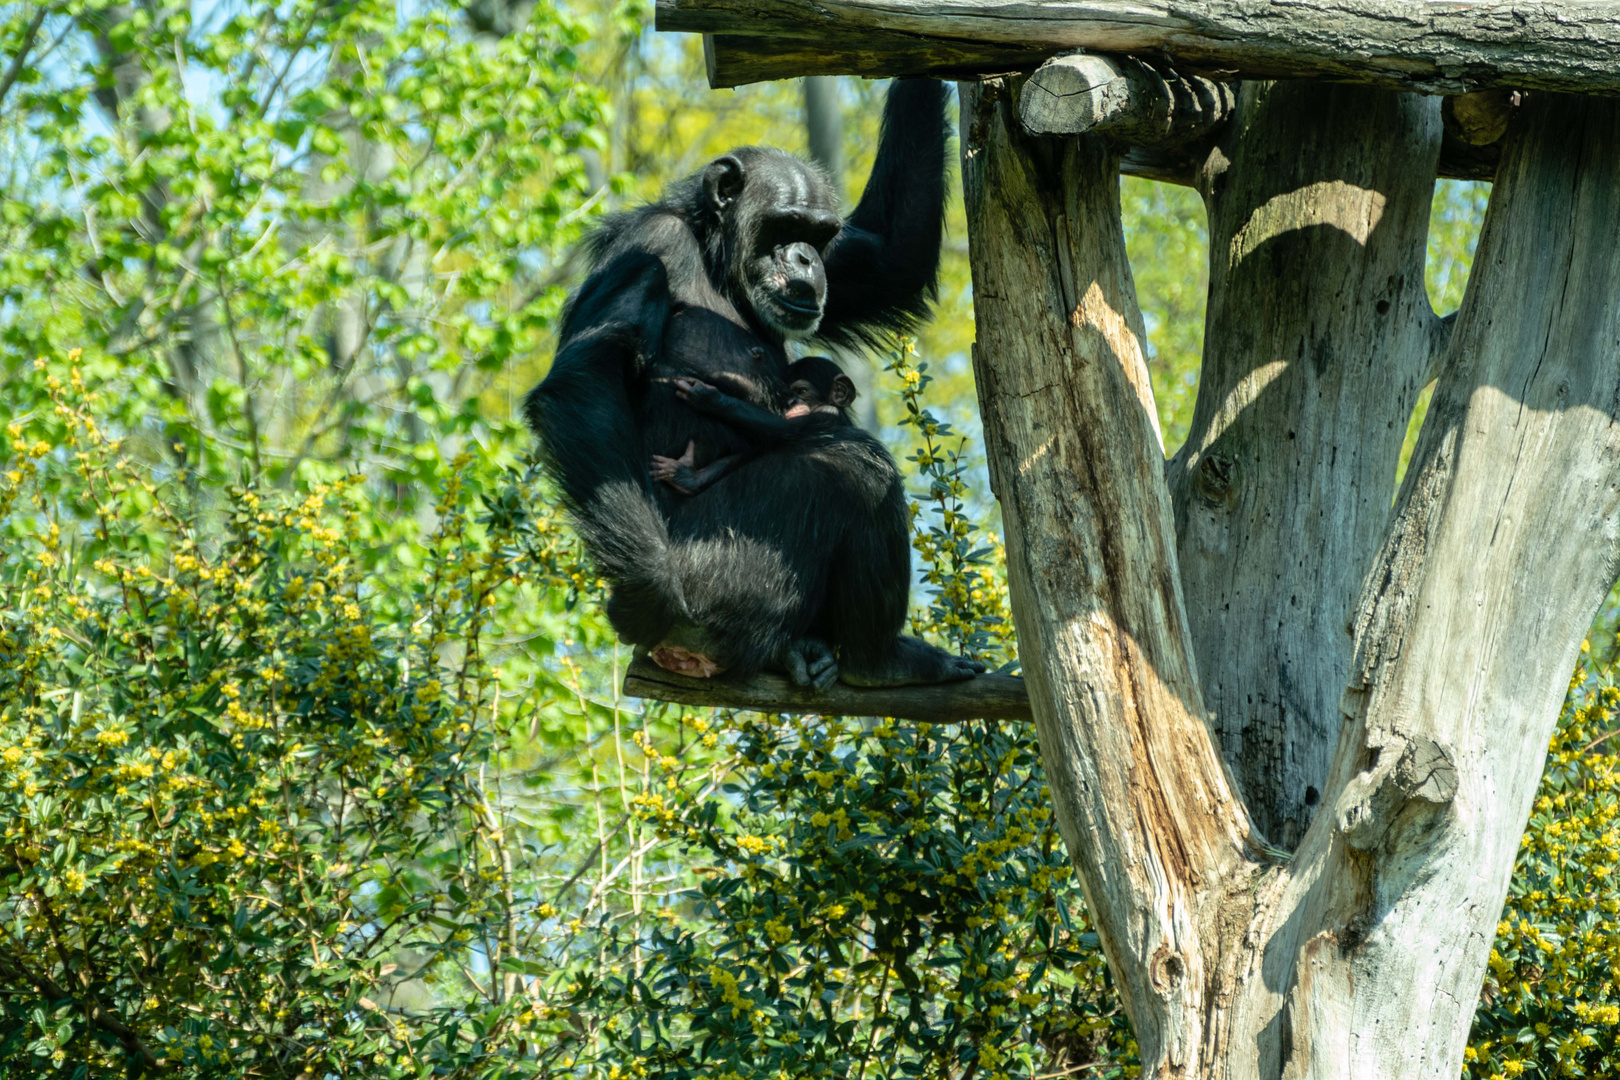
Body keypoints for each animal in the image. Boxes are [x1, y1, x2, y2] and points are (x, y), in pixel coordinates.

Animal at [524, 82, 978, 693]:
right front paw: (648, 589)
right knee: (855, 468)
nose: (806, 257)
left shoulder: (844, 267)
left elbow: (889, 260)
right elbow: (588, 374)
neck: (713, 255)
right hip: (725, 573)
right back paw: (878, 661)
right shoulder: (647, 246)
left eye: (818, 234)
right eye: (784, 226)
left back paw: (806, 653)